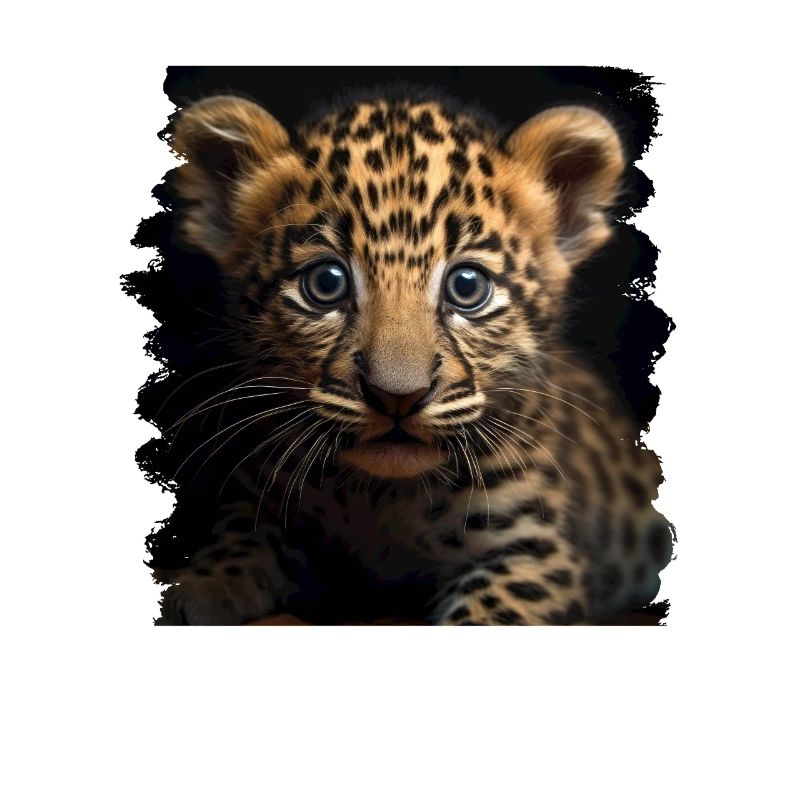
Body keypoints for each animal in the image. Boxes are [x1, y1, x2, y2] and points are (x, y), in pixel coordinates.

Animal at [153, 87, 673, 625]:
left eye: (467, 287)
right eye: (326, 284)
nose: (397, 398)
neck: (382, 498)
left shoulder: (537, 551)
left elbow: (487, 614)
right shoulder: (264, 502)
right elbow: (239, 543)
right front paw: (203, 588)